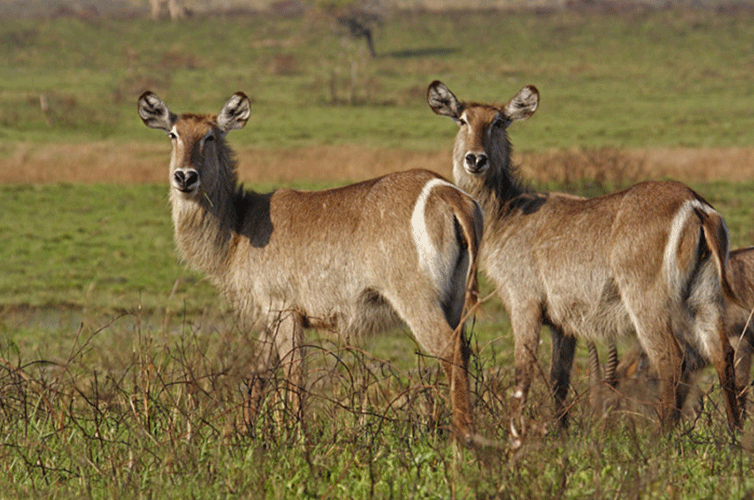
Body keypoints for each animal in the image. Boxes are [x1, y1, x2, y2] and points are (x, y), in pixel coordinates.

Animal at [138, 90, 482, 442]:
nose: (185, 176)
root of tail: (447, 193)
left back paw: (462, 438)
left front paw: (292, 435)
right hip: (455, 300)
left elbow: (294, 373)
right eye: (173, 134)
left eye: (210, 136)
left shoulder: (284, 307)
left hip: (416, 298)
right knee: (464, 350)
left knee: (449, 349)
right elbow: (259, 375)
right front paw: (246, 434)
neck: (239, 226)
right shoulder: (269, 317)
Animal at [428, 80, 740, 448]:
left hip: (647, 300)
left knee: (671, 358)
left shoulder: (524, 302)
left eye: (499, 122)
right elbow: (558, 378)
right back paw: (736, 432)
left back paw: (660, 436)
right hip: (705, 296)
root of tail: (695, 204)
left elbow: (523, 372)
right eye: (462, 120)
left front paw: (515, 436)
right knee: (723, 353)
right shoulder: (562, 321)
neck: (508, 213)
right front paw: (561, 434)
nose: (475, 158)